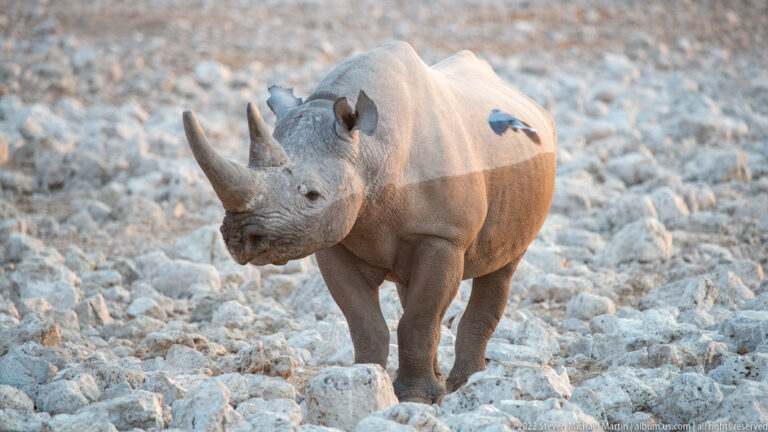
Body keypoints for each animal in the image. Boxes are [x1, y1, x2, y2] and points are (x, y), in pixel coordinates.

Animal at [182, 41, 556, 403]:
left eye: (312, 195)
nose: (240, 238)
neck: (369, 150)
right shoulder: (334, 236)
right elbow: (364, 320)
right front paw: (365, 381)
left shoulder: (443, 236)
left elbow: (419, 319)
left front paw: (416, 399)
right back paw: (442, 381)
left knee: (501, 269)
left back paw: (466, 384)